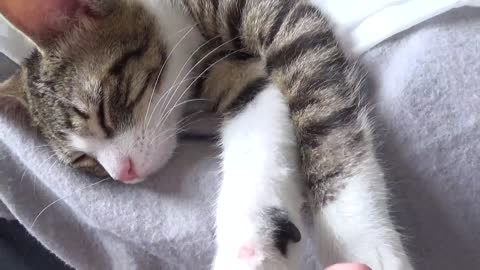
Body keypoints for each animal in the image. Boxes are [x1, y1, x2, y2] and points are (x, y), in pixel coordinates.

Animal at [0, 0, 412, 270]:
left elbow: (323, 111)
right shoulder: (245, 78)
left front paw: (359, 242)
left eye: (102, 108)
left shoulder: (289, 24)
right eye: (83, 160)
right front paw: (252, 243)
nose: (125, 174)